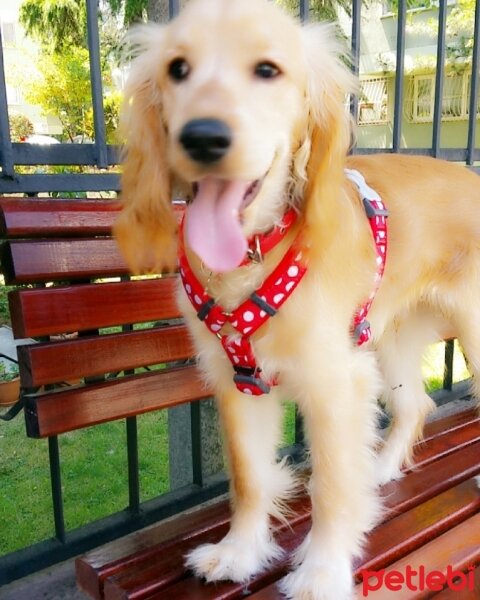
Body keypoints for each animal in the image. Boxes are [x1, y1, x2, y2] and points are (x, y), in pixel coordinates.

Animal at [115, 2, 480, 596]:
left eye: (268, 70)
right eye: (177, 69)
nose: (203, 138)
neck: (253, 257)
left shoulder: (335, 382)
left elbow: (329, 485)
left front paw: (323, 570)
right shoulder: (238, 379)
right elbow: (249, 477)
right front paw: (240, 552)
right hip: (390, 339)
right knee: (415, 404)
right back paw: (380, 470)